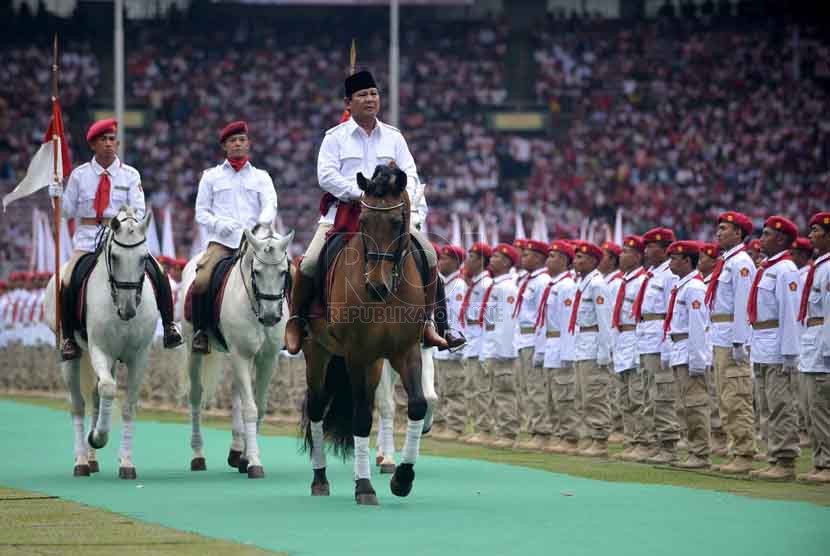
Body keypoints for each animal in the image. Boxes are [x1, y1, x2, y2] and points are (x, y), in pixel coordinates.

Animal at [45, 206, 161, 480]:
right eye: (116, 257)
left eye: (143, 258)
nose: (128, 310)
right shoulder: (100, 350)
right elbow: (107, 389)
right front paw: (98, 437)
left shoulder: (139, 356)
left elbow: (128, 405)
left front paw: (126, 462)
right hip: (72, 358)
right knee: (78, 405)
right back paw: (81, 460)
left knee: (95, 398)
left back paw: (92, 459)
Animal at [177, 226, 294, 478]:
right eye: (256, 272)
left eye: (283, 272)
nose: (270, 316)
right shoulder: (241, 355)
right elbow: (250, 409)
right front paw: (255, 462)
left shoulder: (267, 359)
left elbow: (259, 406)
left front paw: (246, 458)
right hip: (193, 351)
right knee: (196, 396)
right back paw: (198, 455)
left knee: (236, 393)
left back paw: (237, 452)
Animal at [300, 164, 428, 504]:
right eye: (364, 221)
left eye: (396, 222)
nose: (376, 285)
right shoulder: (356, 354)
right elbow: (360, 418)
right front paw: (365, 487)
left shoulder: (405, 350)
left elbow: (417, 405)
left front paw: (403, 479)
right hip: (318, 352)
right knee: (317, 407)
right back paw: (319, 479)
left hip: (374, 364)